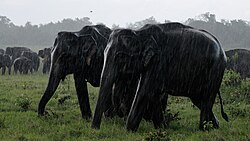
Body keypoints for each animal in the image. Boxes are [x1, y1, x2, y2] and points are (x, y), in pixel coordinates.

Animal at [92, 22, 229, 131]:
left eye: (120, 56)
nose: (95, 129)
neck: (139, 33)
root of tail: (221, 48)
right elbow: (154, 94)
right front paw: (162, 129)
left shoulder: (157, 61)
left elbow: (145, 91)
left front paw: (129, 131)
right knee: (198, 100)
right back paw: (215, 127)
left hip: (216, 69)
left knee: (206, 98)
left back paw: (203, 129)